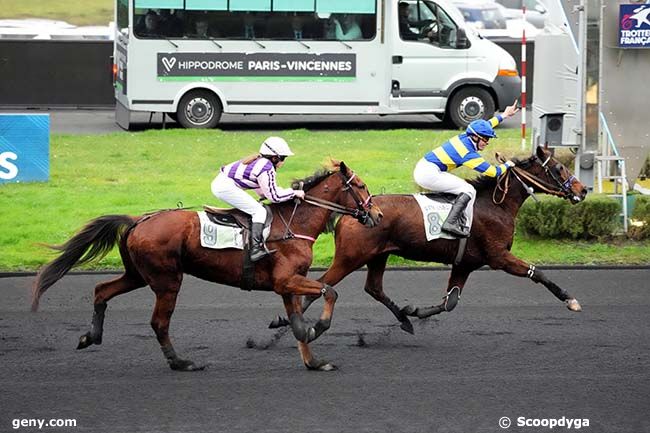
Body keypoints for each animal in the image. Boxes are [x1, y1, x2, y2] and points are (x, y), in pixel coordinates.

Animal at [33, 160, 382, 370]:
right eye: (361, 186)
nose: (377, 215)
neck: (293, 224)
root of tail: (138, 219)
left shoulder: (287, 284)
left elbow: (298, 323)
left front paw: (314, 361)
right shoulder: (285, 281)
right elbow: (329, 292)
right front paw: (318, 328)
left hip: (138, 275)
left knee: (102, 290)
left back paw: (89, 336)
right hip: (167, 280)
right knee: (159, 323)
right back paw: (181, 362)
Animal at [270, 147, 588, 332]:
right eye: (559, 168)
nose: (583, 190)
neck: (495, 205)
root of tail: (355, 212)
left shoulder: (465, 263)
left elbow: (450, 302)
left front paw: (415, 310)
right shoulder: (499, 257)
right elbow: (538, 273)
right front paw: (571, 299)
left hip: (378, 255)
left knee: (373, 288)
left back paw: (404, 319)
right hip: (351, 257)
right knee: (322, 284)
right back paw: (287, 322)